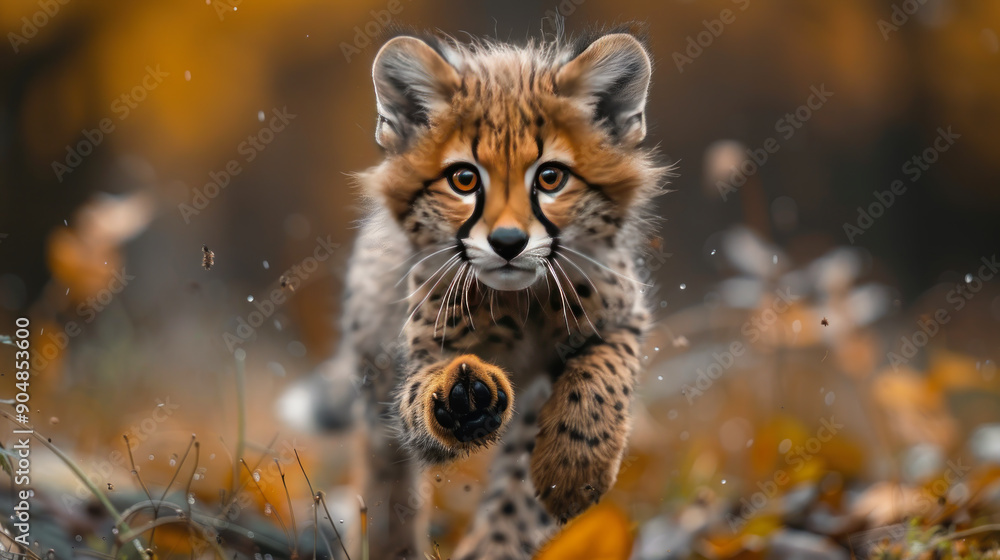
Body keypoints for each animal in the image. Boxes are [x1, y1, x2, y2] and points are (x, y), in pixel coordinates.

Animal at [281, 27, 667, 559]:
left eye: (550, 177)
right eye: (464, 179)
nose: (507, 242)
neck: (519, 303)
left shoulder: (620, 316)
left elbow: (599, 380)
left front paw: (571, 471)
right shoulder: (423, 352)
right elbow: (421, 407)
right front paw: (464, 399)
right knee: (386, 477)